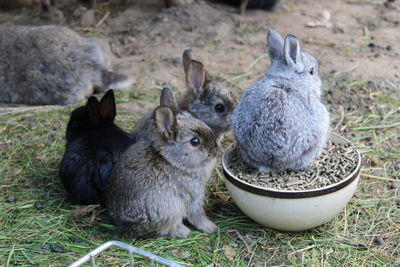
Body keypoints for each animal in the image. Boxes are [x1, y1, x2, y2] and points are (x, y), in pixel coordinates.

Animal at [106, 104, 219, 239]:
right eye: (194, 141)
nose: (215, 149)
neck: (173, 162)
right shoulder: (192, 197)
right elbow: (197, 215)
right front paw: (211, 227)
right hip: (170, 210)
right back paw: (183, 231)